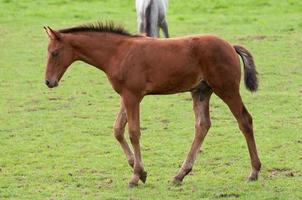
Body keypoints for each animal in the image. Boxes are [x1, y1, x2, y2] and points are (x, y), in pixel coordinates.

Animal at [43, 21, 260, 188]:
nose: (48, 82)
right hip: (201, 91)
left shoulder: (133, 96)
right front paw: (141, 171)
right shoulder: (125, 95)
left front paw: (135, 176)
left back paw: (254, 172)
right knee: (203, 125)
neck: (118, 52)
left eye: (55, 53)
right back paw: (180, 175)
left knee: (244, 120)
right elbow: (117, 130)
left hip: (226, 88)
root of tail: (230, 45)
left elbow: (133, 132)